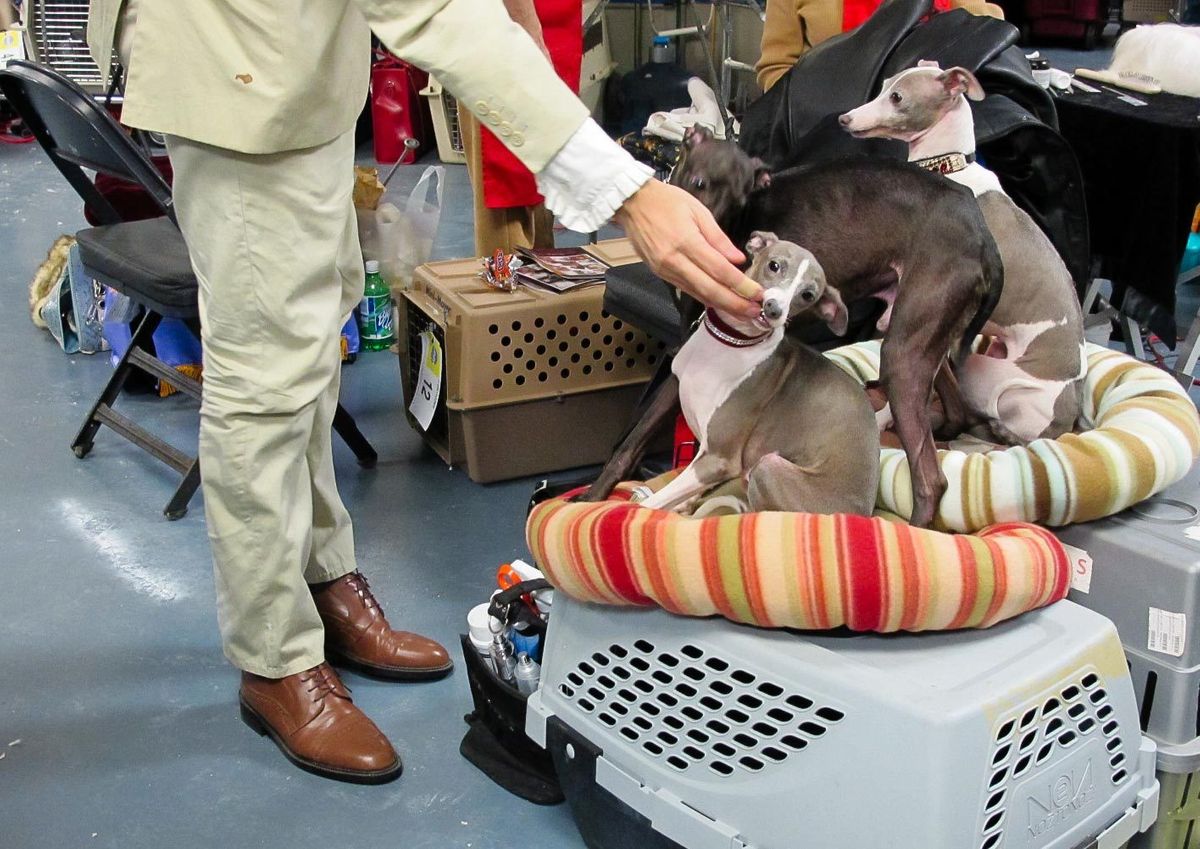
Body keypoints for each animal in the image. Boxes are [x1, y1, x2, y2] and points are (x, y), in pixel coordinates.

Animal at [638, 229, 883, 513]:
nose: (774, 309)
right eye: (774, 265)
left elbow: (650, 503)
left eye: (808, 295)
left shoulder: (720, 459)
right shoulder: (704, 454)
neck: (731, 342)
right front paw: (683, 508)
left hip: (768, 466)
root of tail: (862, 514)